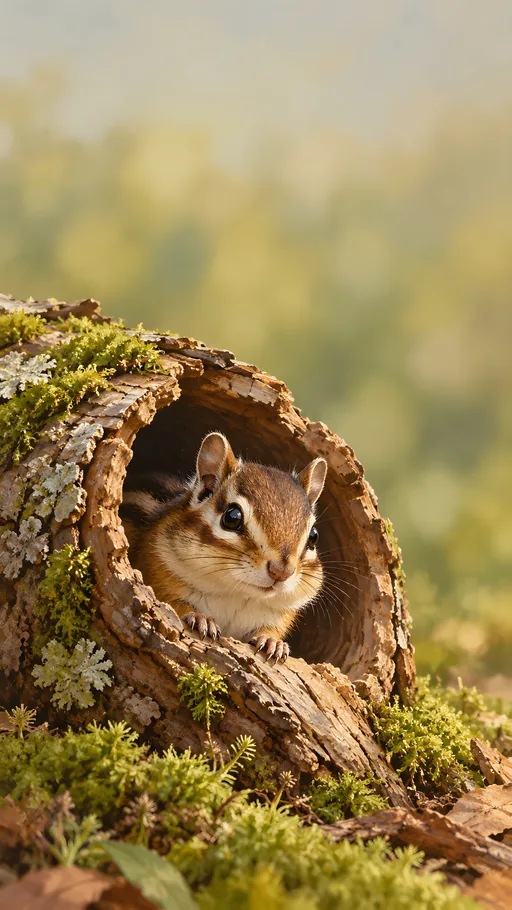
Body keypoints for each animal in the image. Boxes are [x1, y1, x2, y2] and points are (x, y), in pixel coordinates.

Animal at [120, 432, 327, 662]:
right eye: (232, 517)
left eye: (313, 536)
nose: (281, 572)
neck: (236, 594)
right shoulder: (158, 576)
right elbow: (171, 603)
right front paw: (201, 619)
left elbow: (272, 629)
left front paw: (273, 642)